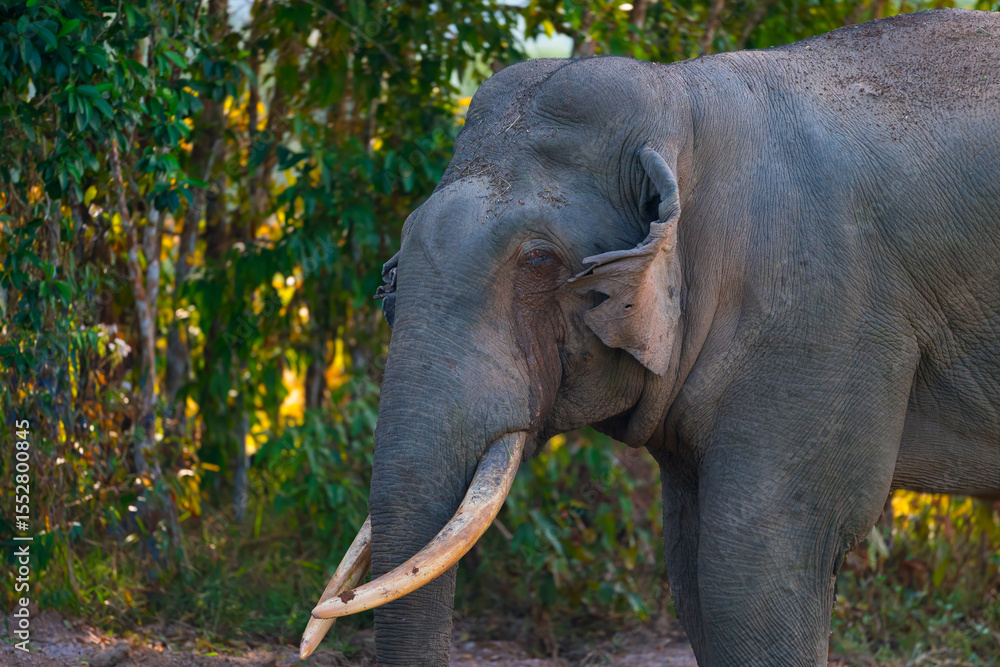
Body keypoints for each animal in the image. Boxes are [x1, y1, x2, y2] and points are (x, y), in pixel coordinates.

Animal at [303, 8, 1000, 666]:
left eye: (539, 261)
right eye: (394, 268)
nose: (320, 613)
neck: (681, 97)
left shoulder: (822, 306)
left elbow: (757, 561)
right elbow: (693, 573)